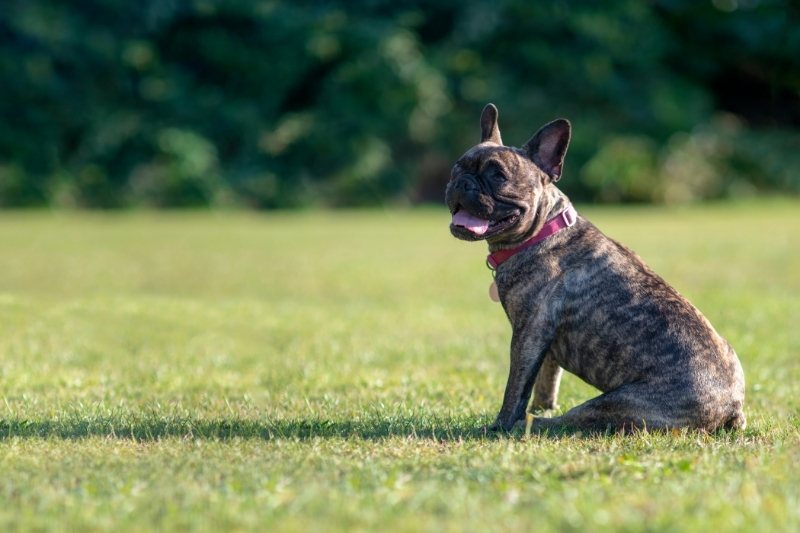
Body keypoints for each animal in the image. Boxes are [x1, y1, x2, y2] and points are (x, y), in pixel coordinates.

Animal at [446, 104, 748, 432]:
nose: (462, 182)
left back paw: (531, 424)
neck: (543, 232)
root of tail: (731, 405)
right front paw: (543, 404)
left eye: (498, 176)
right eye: (457, 167)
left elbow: (516, 387)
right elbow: (546, 379)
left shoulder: (528, 334)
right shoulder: (545, 342)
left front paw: (501, 424)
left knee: (567, 422)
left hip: (610, 404)